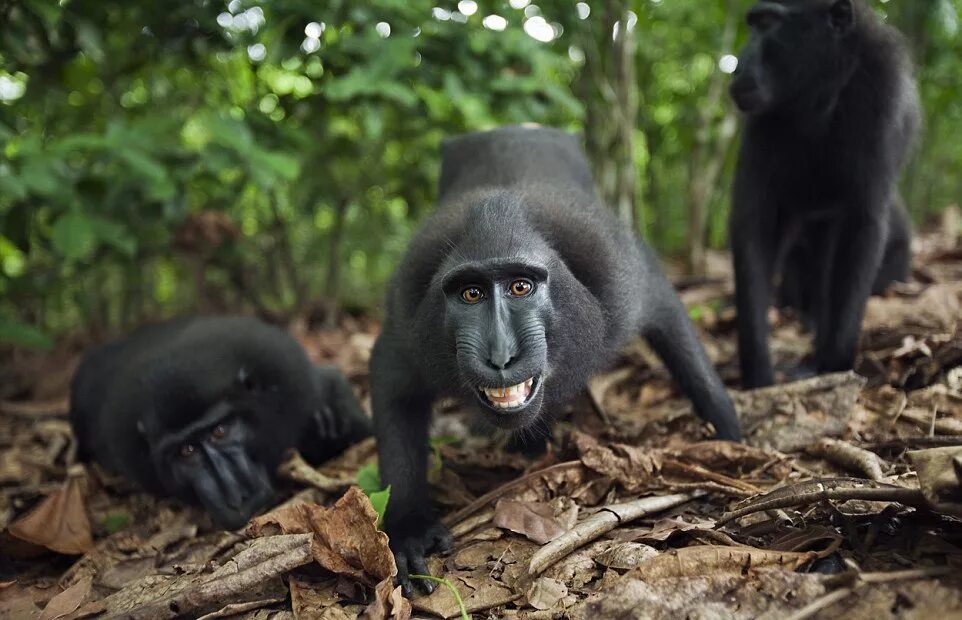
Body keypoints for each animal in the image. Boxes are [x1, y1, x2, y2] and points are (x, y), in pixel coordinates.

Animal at [370, 126, 744, 596]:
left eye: (521, 286)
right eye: (471, 293)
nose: (501, 355)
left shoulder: (620, 278)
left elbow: (668, 315)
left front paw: (732, 437)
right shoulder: (410, 320)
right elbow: (392, 383)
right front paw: (408, 529)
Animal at [732, 0, 920, 388]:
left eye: (767, 23)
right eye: (753, 24)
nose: (739, 63)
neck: (821, 94)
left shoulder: (881, 97)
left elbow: (864, 223)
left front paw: (834, 363)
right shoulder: (764, 125)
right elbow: (755, 228)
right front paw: (759, 375)